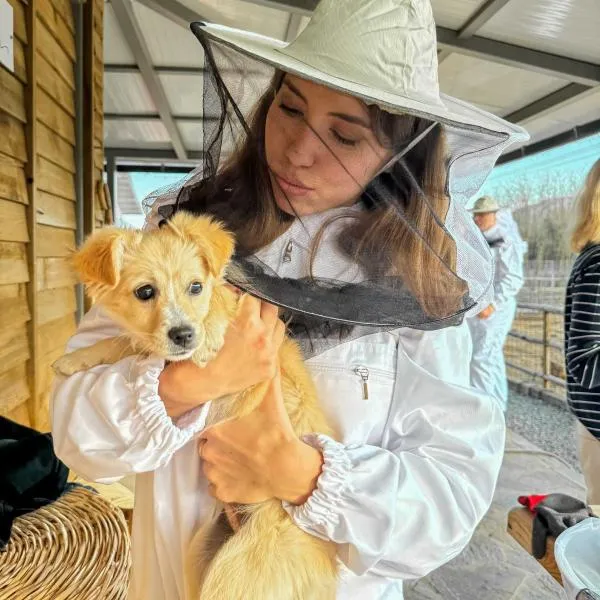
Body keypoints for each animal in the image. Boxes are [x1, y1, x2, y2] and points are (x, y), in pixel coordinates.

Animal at [54, 212, 340, 600]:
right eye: (145, 292)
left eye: (195, 287)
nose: (185, 335)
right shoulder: (154, 345)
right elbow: (123, 342)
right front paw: (76, 358)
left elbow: (214, 309)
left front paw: (208, 336)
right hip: (202, 551)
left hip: (237, 570)